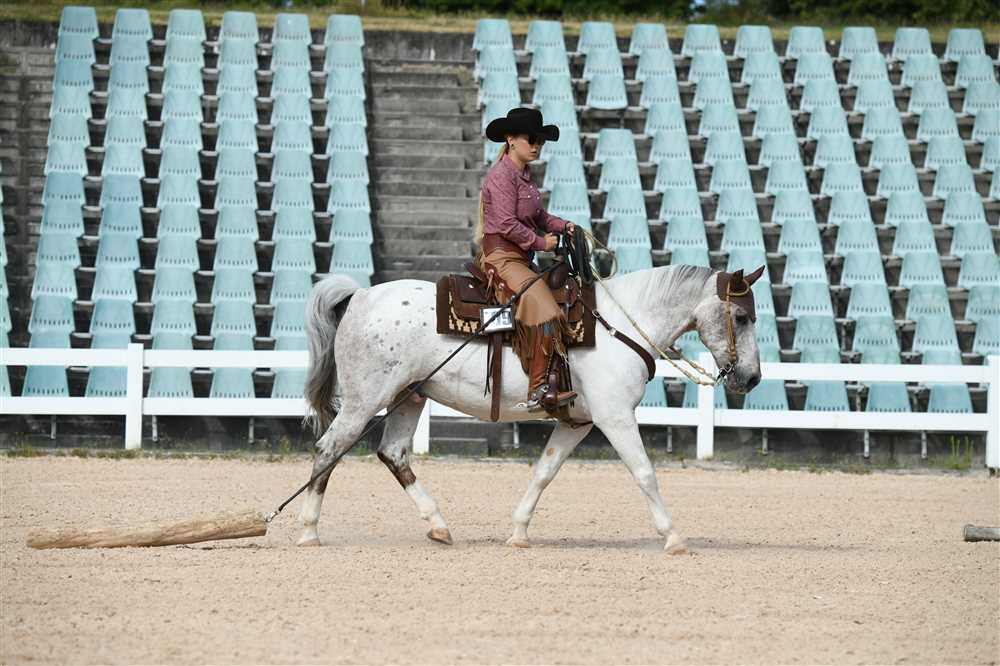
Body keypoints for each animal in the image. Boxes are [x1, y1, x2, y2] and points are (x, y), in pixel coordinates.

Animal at [297, 264, 765, 554]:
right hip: (365, 400)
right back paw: (308, 530)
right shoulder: (614, 417)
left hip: (409, 397)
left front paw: (519, 532)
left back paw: (438, 525)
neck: (618, 326)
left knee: (393, 453)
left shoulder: (578, 423)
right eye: (742, 317)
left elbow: (544, 471)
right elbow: (645, 474)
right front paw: (673, 538)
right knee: (327, 451)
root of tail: (360, 297)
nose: (752, 378)